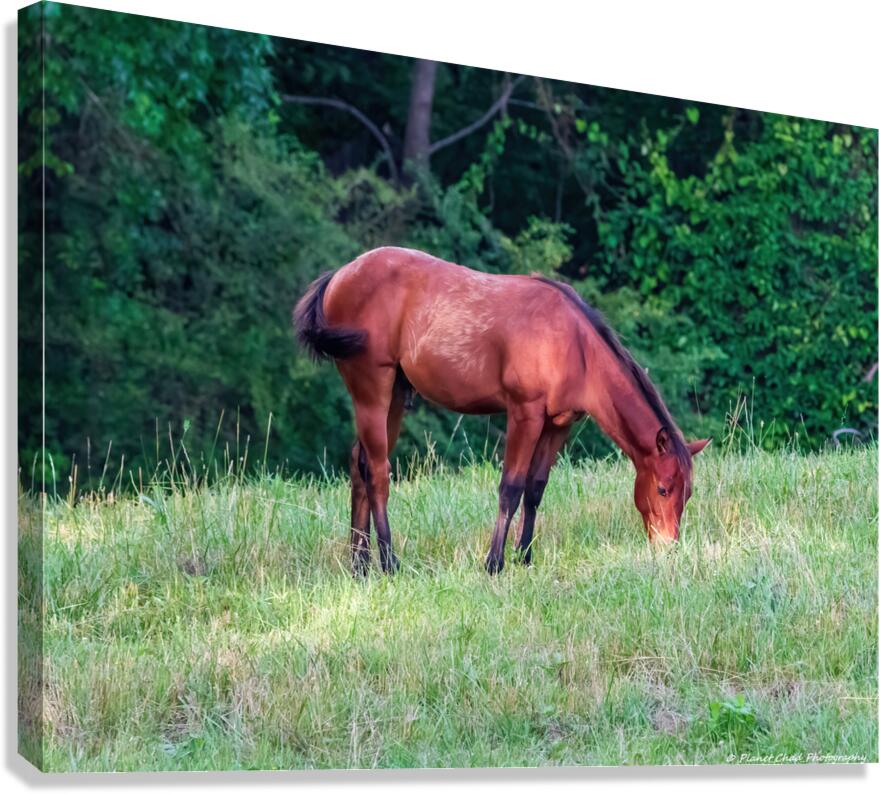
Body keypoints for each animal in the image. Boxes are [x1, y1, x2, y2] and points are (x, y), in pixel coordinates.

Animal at [294, 246, 710, 575]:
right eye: (662, 488)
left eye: (688, 493)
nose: (669, 548)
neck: (573, 344)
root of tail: (340, 276)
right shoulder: (524, 414)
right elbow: (510, 486)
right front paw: (494, 562)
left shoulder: (558, 425)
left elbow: (535, 488)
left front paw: (525, 556)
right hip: (372, 389)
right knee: (378, 472)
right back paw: (389, 562)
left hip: (394, 394)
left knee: (359, 464)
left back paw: (360, 565)